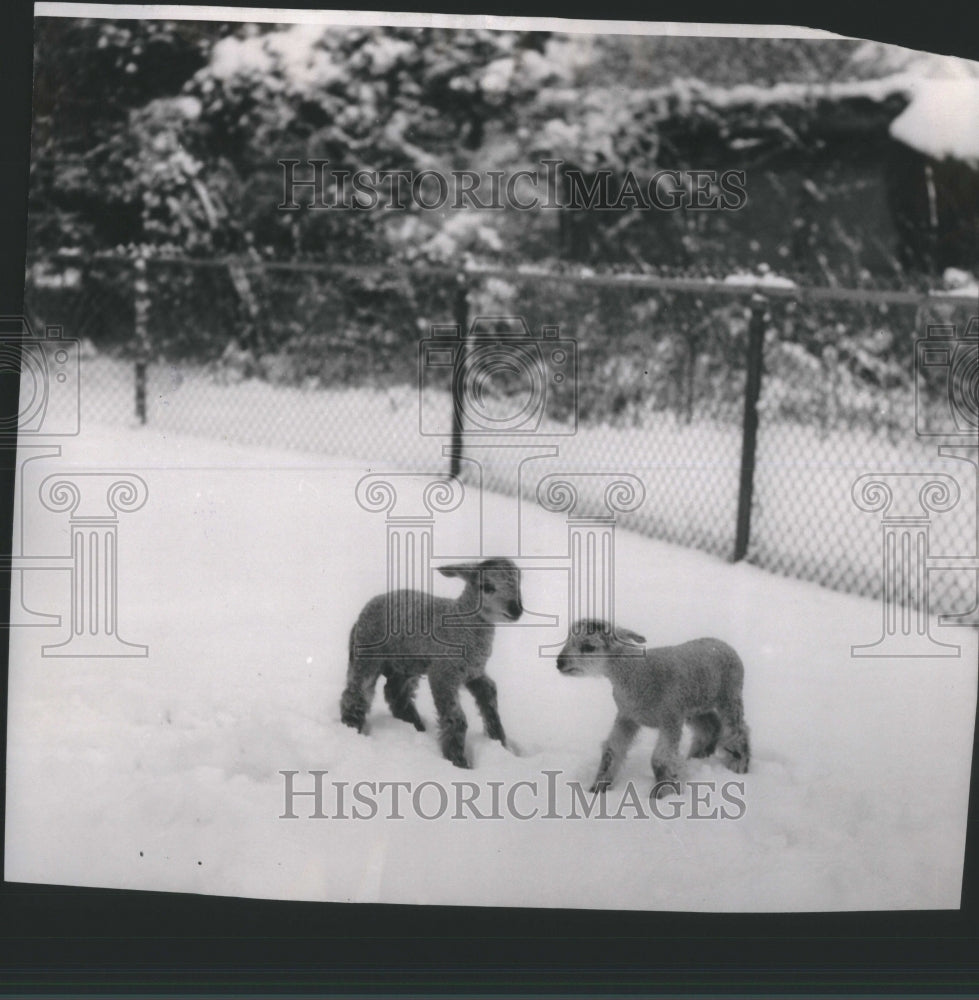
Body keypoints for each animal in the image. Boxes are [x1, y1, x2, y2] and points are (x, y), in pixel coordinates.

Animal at [340, 560, 524, 768]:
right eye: (487, 586)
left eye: (518, 583)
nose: (516, 609)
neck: (463, 624)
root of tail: (360, 616)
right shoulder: (443, 673)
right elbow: (457, 718)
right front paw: (458, 761)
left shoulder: (474, 673)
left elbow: (490, 702)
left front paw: (501, 744)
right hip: (367, 653)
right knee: (356, 693)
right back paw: (352, 726)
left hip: (405, 664)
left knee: (396, 695)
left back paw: (416, 725)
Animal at [560, 616, 752, 796]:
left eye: (589, 647)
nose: (559, 663)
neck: (638, 673)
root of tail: (721, 643)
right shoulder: (627, 715)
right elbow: (612, 750)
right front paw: (598, 788)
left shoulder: (670, 717)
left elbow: (660, 759)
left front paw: (663, 793)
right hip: (695, 705)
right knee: (710, 726)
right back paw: (697, 757)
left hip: (729, 694)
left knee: (737, 730)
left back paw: (739, 765)